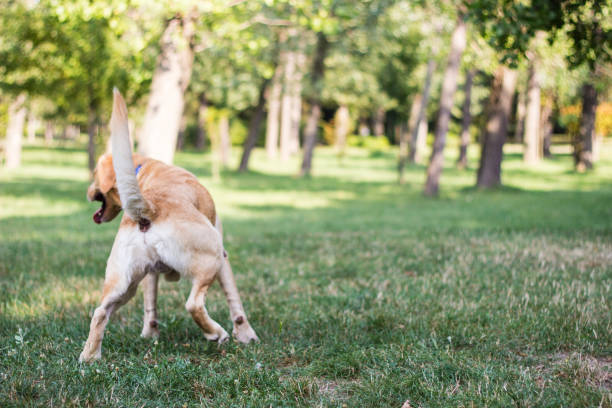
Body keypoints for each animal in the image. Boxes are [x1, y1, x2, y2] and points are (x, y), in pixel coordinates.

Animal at [78, 90, 256, 364]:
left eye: (94, 173)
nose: (87, 192)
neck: (144, 171)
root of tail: (149, 207)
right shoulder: (224, 257)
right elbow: (235, 301)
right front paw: (247, 335)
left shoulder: (150, 273)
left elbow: (150, 305)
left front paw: (150, 334)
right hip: (212, 257)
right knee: (193, 304)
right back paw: (216, 333)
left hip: (123, 283)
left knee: (100, 311)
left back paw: (90, 357)